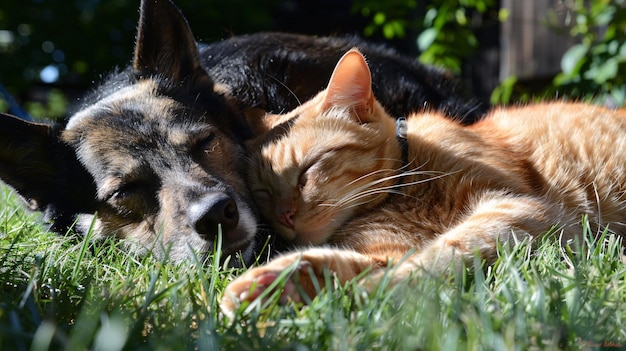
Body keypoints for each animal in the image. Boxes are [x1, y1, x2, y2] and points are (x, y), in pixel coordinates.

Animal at [221, 48, 626, 316]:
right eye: (263, 193)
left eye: (307, 171)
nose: (286, 216)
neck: (403, 192)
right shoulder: (383, 251)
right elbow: (350, 264)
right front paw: (277, 285)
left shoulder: (524, 211)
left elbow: (443, 253)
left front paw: (374, 294)